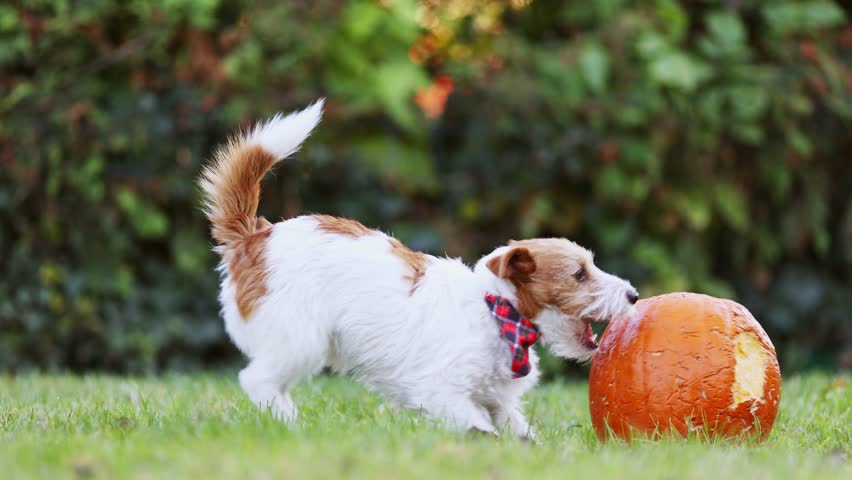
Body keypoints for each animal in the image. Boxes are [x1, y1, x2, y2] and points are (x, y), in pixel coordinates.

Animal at [201, 101, 640, 438]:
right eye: (579, 274)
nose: (634, 295)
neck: (497, 312)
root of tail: (255, 236)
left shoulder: (496, 397)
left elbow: (515, 426)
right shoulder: (441, 390)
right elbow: (479, 425)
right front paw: (486, 440)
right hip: (300, 339)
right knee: (257, 380)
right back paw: (290, 423)